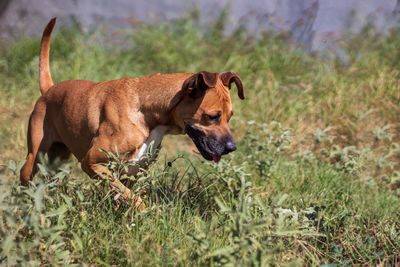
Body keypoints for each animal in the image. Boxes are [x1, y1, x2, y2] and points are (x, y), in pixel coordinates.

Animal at [20, 17, 245, 210]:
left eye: (230, 117)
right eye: (212, 116)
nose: (231, 148)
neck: (148, 112)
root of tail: (49, 90)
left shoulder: (132, 171)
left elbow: (126, 194)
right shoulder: (92, 163)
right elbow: (132, 199)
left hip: (56, 161)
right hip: (35, 157)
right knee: (26, 178)